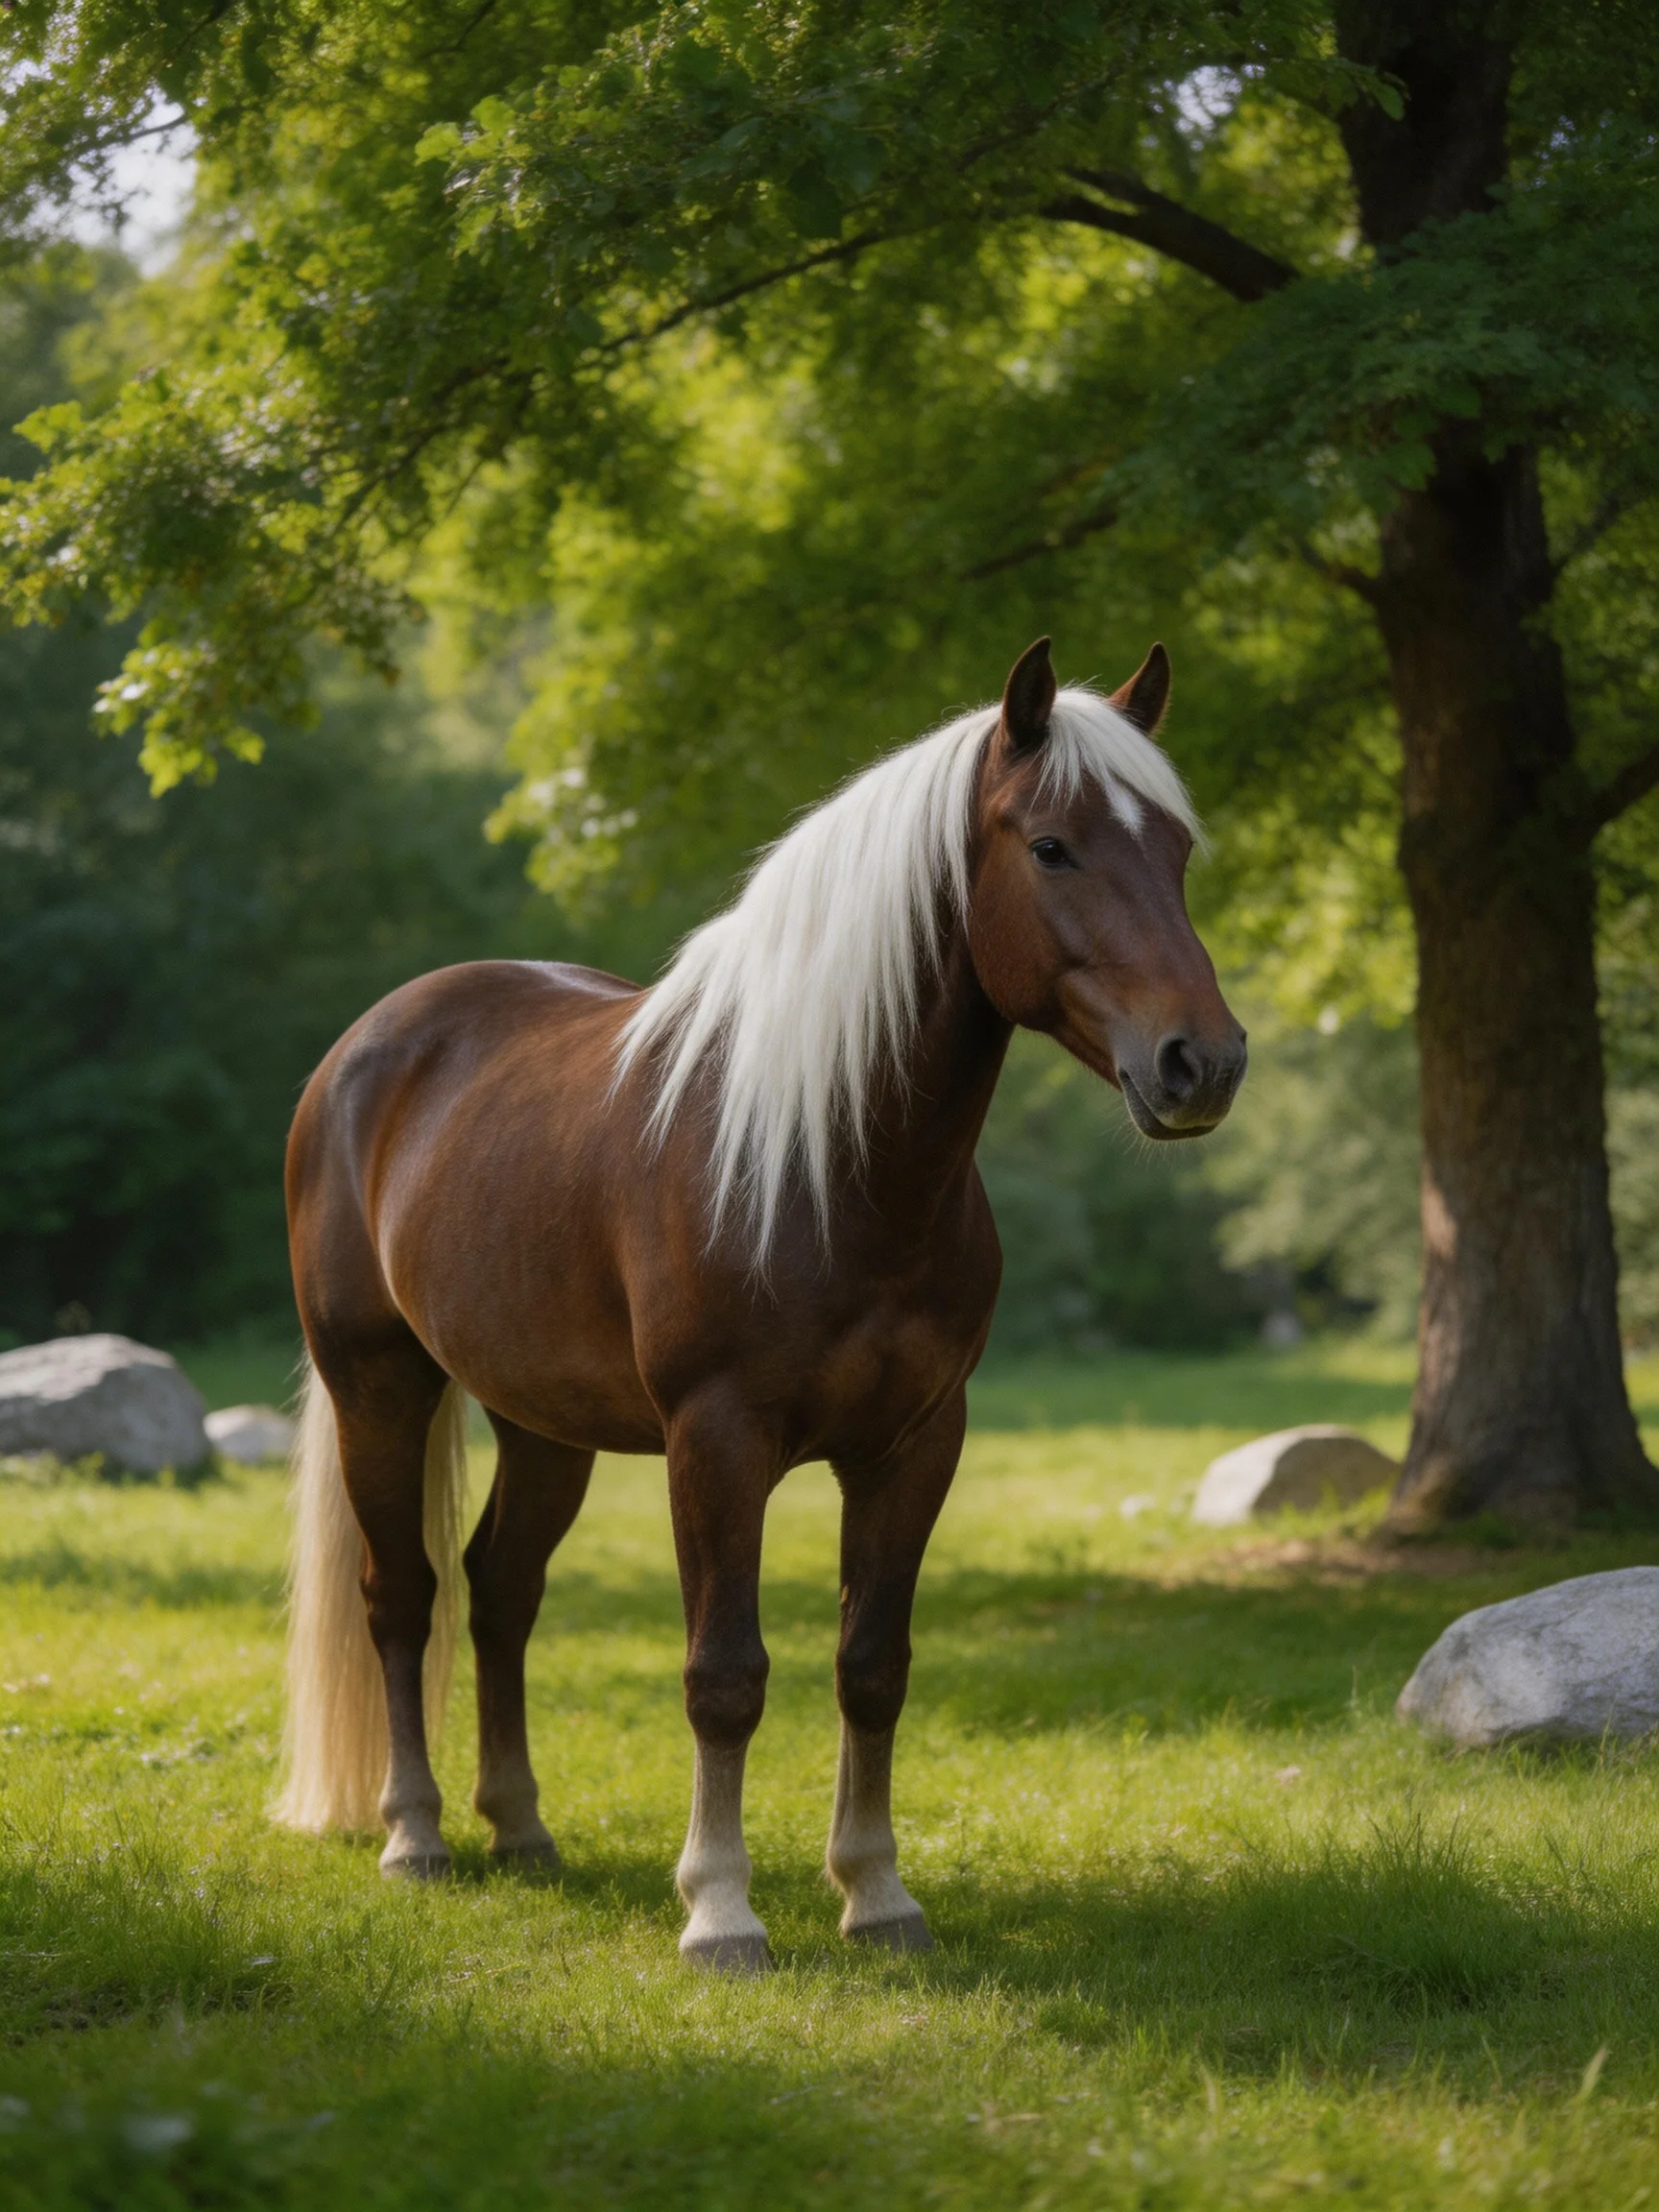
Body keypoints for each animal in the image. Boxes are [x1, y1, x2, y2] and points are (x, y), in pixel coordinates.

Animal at [276, 635, 1246, 1971]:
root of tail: (364, 1051)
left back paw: (519, 1828)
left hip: (543, 1423)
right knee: (403, 1596)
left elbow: (872, 1664)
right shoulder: (718, 1442)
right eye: (1052, 846)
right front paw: (720, 1910)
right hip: (380, 1386)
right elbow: (724, 1675)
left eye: (1178, 849)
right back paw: (414, 1836)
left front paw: (876, 1895)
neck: (830, 1161)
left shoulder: (915, 1443)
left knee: (502, 1592)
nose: (1202, 1063)